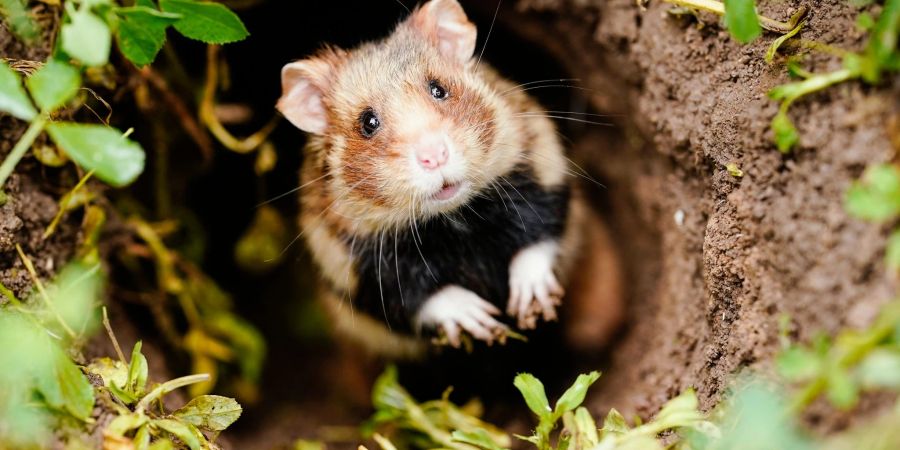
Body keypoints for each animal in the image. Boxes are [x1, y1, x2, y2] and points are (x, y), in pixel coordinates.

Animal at [278, 0, 624, 356]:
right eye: (368, 122)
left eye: (438, 89)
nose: (434, 155)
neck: (454, 221)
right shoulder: (352, 263)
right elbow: (416, 297)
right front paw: (482, 319)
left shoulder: (541, 161)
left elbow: (539, 232)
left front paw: (527, 302)